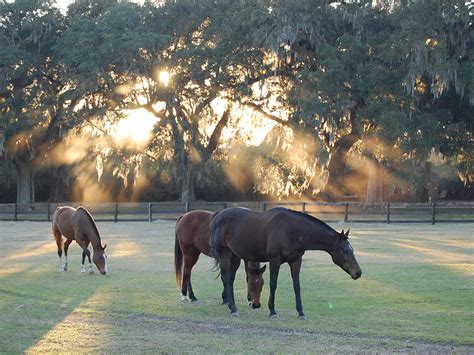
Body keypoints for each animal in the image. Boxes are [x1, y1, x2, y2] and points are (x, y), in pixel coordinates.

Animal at [209, 206, 362, 320]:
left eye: (351, 250)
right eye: (345, 251)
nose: (358, 272)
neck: (293, 230)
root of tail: (217, 216)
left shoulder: (296, 261)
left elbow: (297, 286)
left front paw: (301, 312)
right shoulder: (274, 260)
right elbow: (273, 284)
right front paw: (272, 311)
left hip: (235, 256)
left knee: (230, 279)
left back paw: (232, 305)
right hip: (224, 253)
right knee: (225, 278)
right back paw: (233, 309)